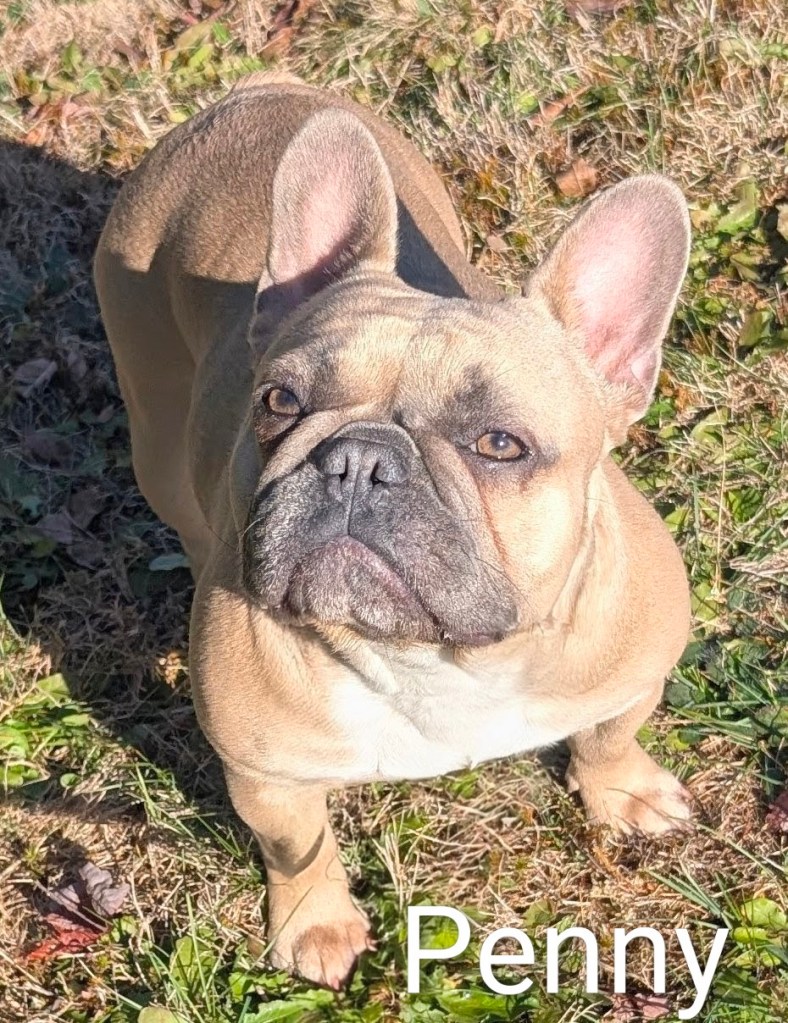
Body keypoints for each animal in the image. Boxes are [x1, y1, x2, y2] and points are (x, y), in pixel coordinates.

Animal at [94, 71, 692, 989]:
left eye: (500, 444)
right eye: (279, 401)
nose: (358, 459)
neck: (439, 660)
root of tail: (253, 94)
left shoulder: (635, 673)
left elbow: (609, 735)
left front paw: (621, 790)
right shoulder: (266, 775)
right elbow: (298, 849)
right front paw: (314, 922)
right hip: (153, 425)